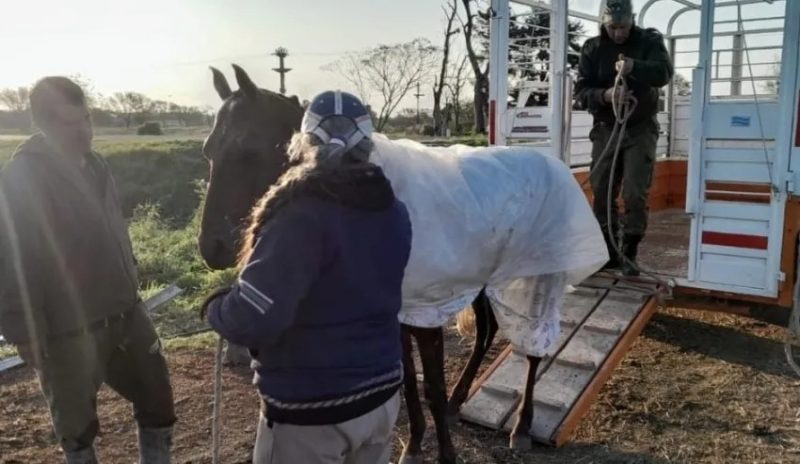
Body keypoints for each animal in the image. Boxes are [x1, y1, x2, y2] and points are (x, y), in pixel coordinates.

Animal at [198, 64, 607, 464]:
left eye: (248, 151)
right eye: (208, 150)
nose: (211, 248)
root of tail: (553, 164)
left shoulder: (425, 316)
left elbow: (432, 388)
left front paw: (445, 453)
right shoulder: (398, 317)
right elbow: (410, 384)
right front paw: (413, 446)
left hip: (537, 280)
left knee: (534, 346)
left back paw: (521, 427)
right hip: (484, 279)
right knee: (487, 331)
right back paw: (461, 401)